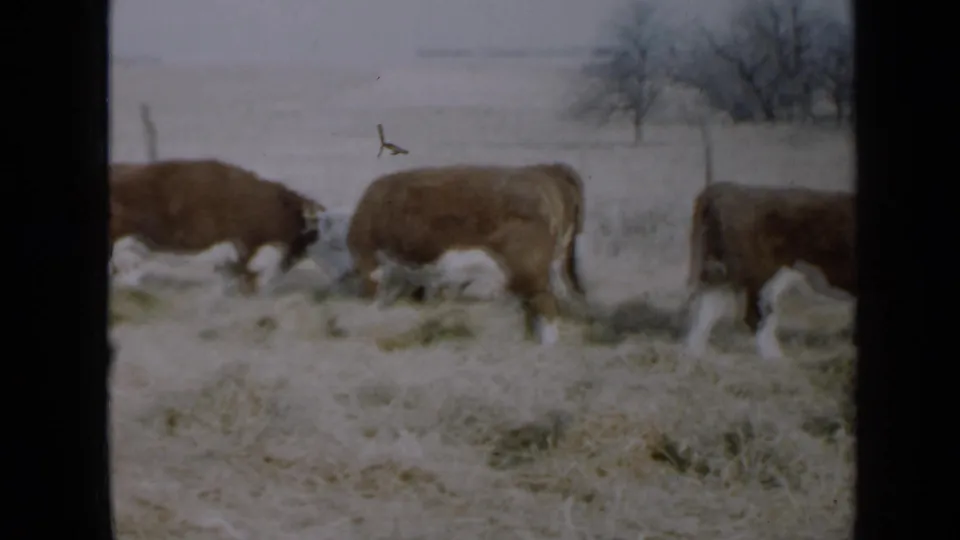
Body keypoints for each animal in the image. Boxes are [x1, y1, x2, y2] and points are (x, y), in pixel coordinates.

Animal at [345, 162, 587, 345]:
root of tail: (544, 170)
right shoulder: (398, 275)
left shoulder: (370, 265)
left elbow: (371, 305)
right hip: (551, 267)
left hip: (528, 270)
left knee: (545, 306)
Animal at [683, 181, 856, 360]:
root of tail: (726, 187)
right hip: (765, 273)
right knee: (756, 314)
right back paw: (776, 358)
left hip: (722, 269)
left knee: (709, 306)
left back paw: (698, 353)